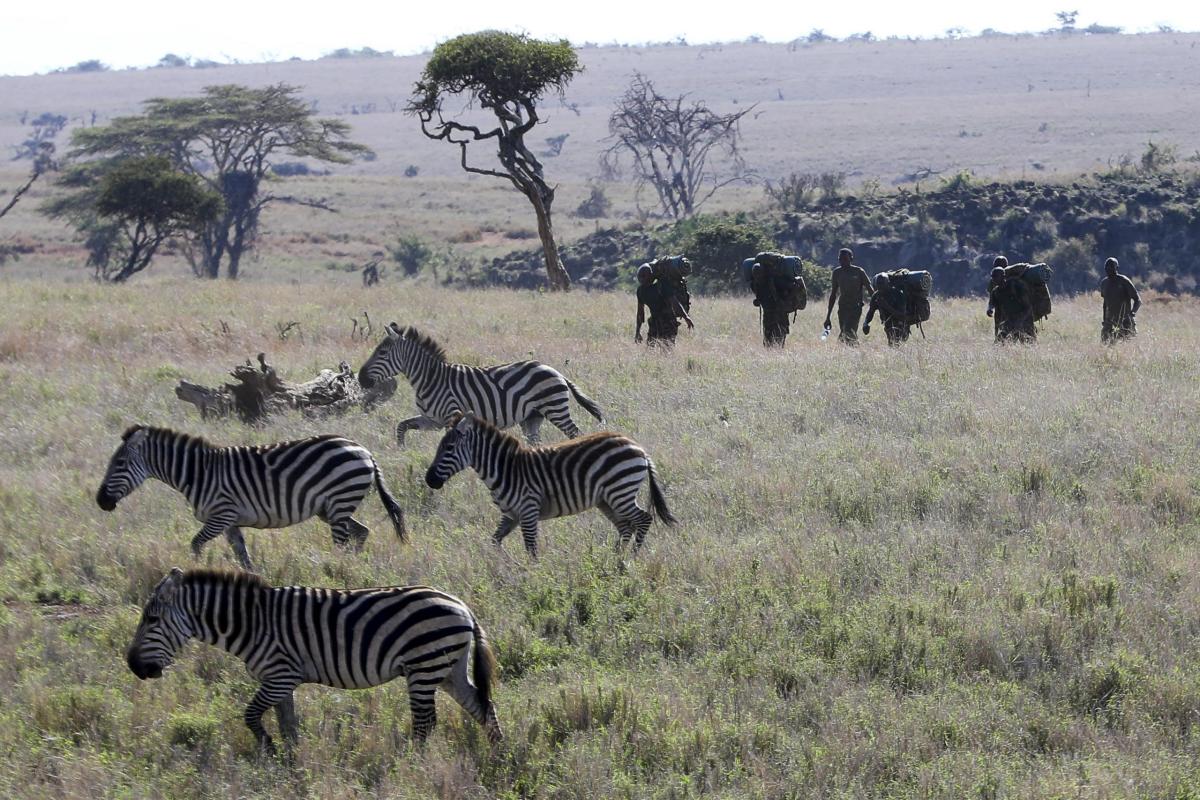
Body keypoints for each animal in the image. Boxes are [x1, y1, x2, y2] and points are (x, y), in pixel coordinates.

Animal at [96, 429, 405, 573]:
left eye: (120, 463)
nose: (101, 502)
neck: (198, 474)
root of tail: (364, 450)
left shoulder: (220, 515)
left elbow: (195, 544)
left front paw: (195, 569)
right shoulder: (230, 522)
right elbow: (243, 556)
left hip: (339, 503)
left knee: (342, 543)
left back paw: (337, 572)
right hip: (330, 508)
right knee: (362, 532)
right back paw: (353, 568)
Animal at [129, 568, 504, 753]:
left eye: (152, 620)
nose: (133, 666)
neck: (252, 622)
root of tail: (463, 606)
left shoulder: (280, 675)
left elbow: (250, 715)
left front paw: (270, 750)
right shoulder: (280, 682)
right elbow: (288, 723)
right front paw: (291, 760)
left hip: (424, 667)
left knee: (426, 724)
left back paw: (410, 764)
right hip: (448, 669)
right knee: (482, 707)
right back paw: (498, 757)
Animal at [352, 326, 600, 450]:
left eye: (382, 353)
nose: (361, 379)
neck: (429, 379)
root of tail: (555, 371)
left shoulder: (451, 415)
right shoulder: (431, 420)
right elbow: (401, 426)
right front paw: (401, 450)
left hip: (555, 409)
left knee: (576, 433)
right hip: (532, 418)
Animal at [427, 412, 681, 556]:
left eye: (448, 448)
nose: (429, 480)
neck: (505, 468)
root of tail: (638, 448)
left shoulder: (528, 511)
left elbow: (531, 550)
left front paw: (531, 579)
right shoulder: (510, 515)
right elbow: (495, 541)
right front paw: (502, 566)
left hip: (620, 492)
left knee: (643, 519)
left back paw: (630, 560)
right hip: (606, 500)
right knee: (626, 527)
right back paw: (614, 560)